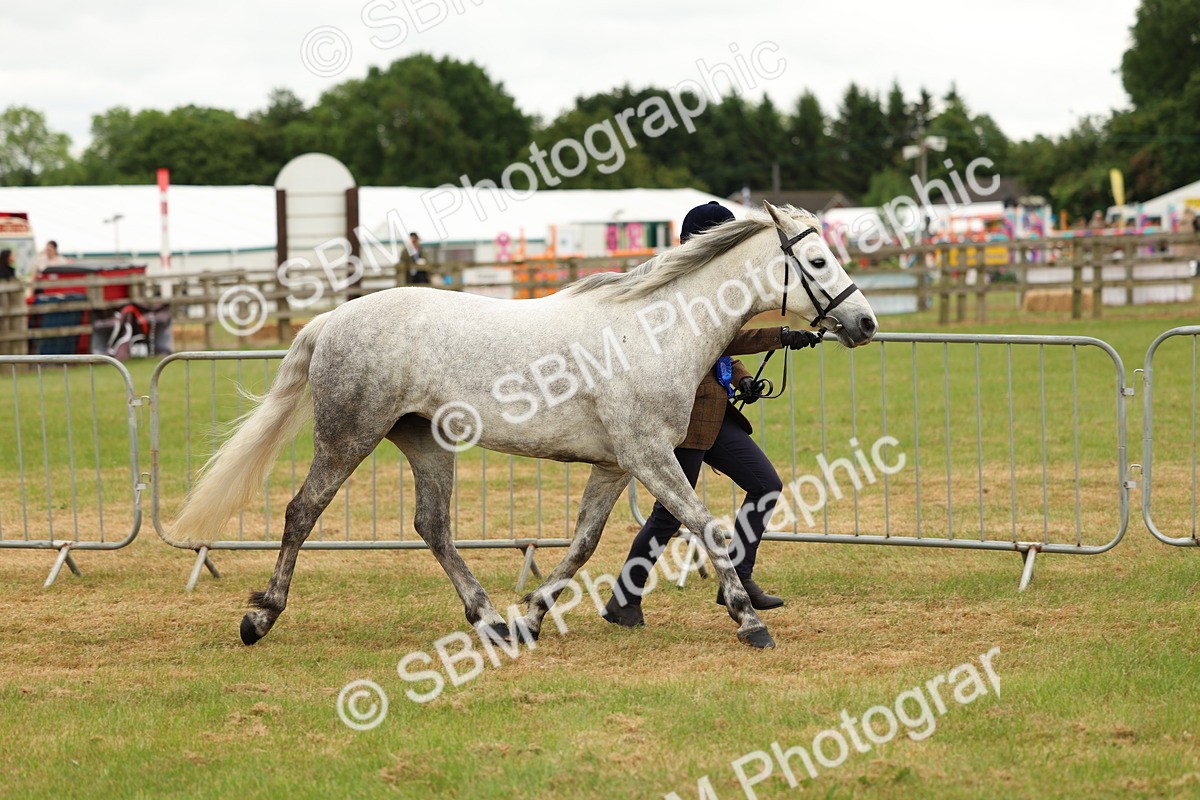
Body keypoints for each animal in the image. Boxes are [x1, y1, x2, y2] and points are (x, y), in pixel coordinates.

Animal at [168, 202, 878, 649]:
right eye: (817, 263)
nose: (865, 323)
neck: (656, 330)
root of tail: (331, 320)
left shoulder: (616, 464)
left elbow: (586, 542)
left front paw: (534, 617)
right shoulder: (649, 456)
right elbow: (706, 526)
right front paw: (749, 621)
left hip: (424, 441)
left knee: (433, 526)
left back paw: (490, 621)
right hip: (349, 435)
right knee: (302, 511)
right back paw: (260, 618)